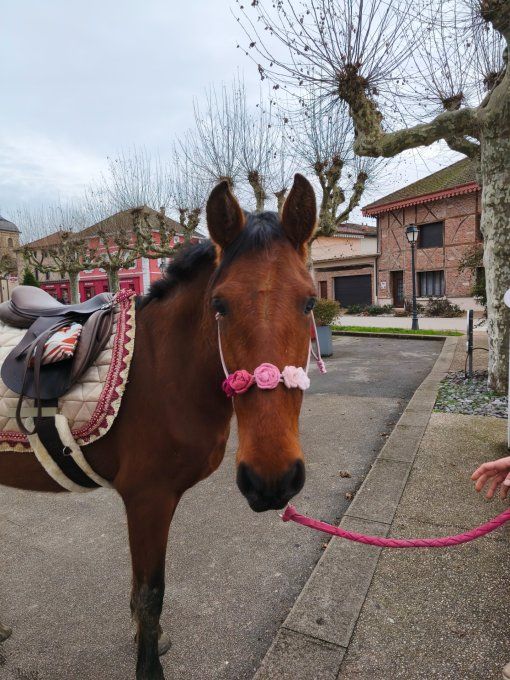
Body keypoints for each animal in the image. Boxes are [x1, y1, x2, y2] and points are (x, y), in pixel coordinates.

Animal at [0, 173, 318, 679]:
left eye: (309, 301)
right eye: (219, 304)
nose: (272, 479)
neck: (160, 368)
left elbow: (141, 591)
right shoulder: (147, 498)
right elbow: (151, 595)